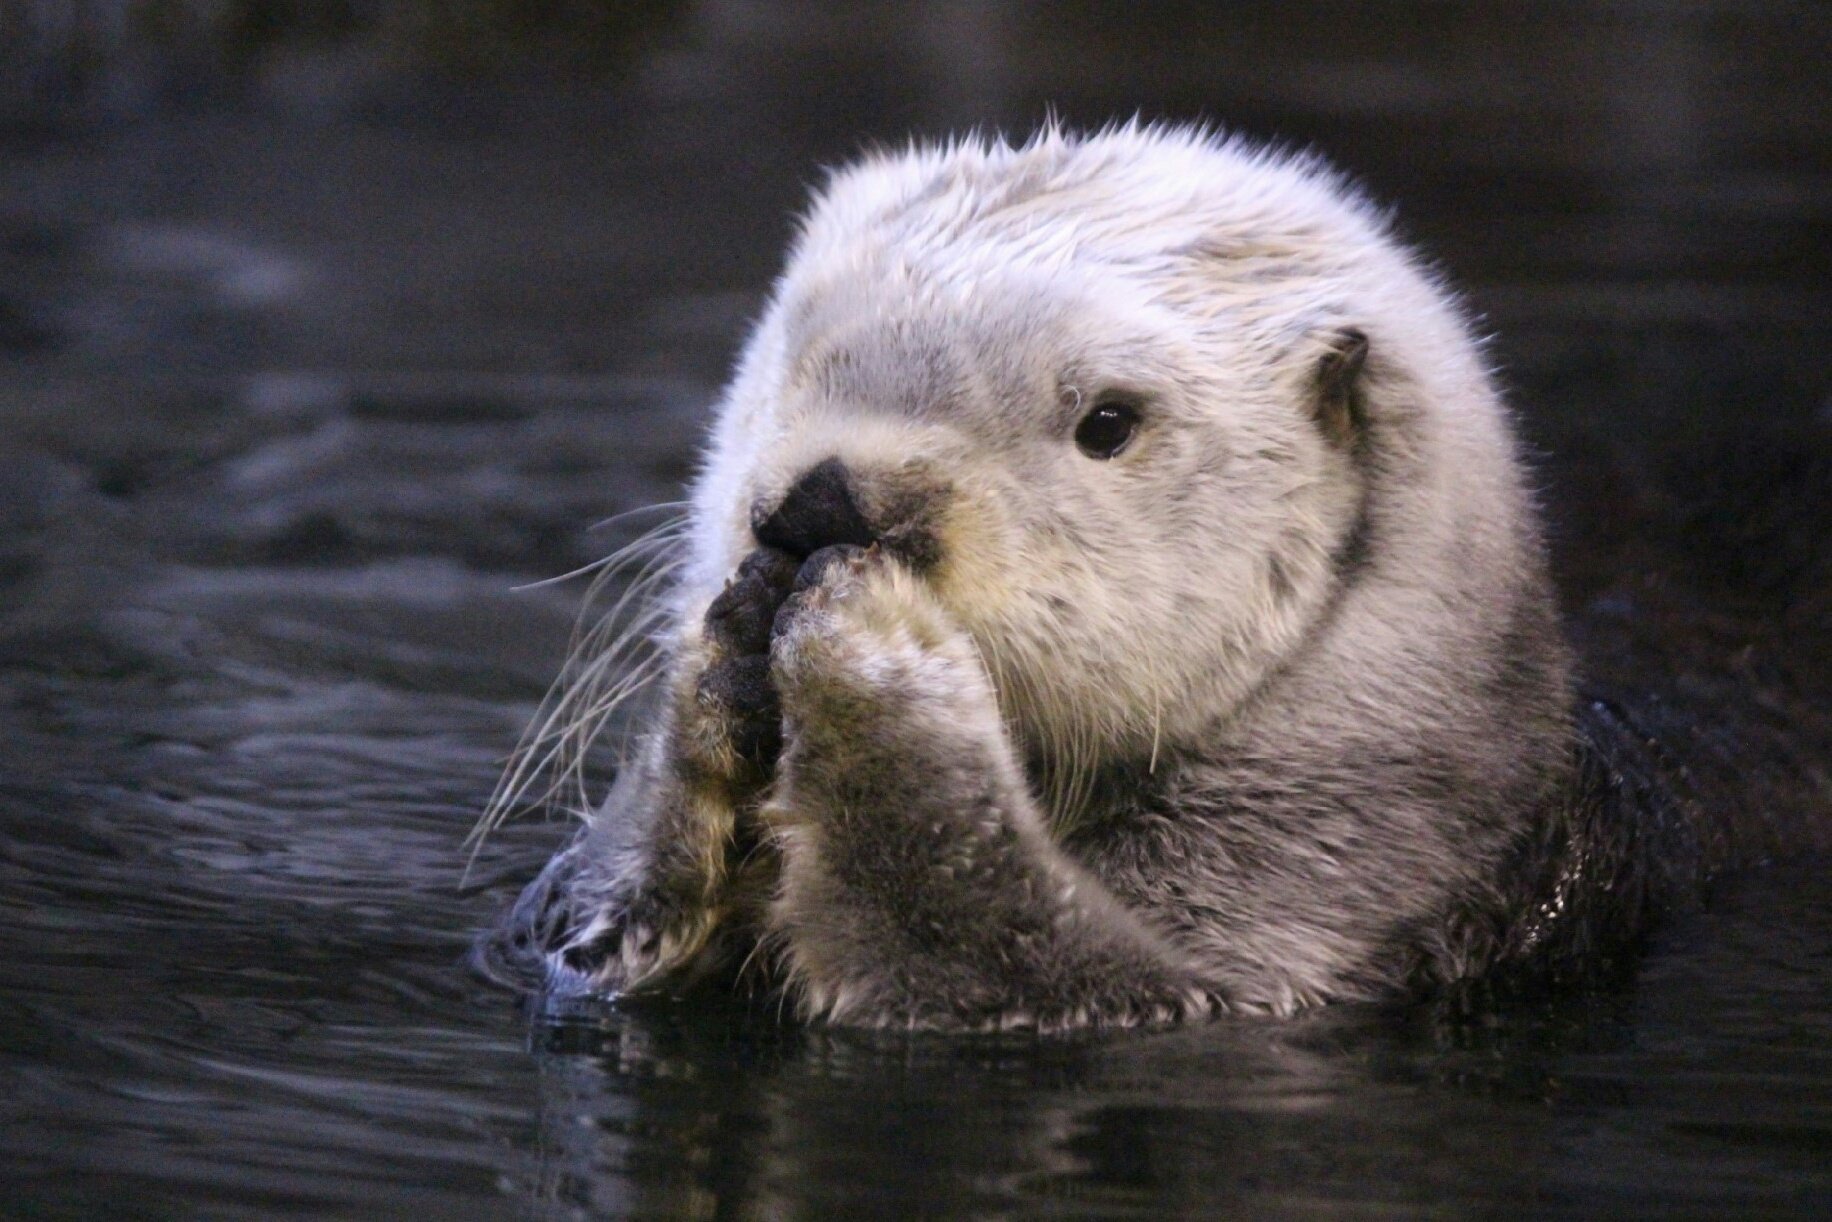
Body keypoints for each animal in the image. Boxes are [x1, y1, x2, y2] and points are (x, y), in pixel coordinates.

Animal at [479, 124, 1824, 1025]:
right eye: (793, 361)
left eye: (1108, 423)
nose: (819, 507)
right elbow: (554, 931)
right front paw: (712, 673)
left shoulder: (1342, 886)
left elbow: (997, 954)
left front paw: (876, 660)